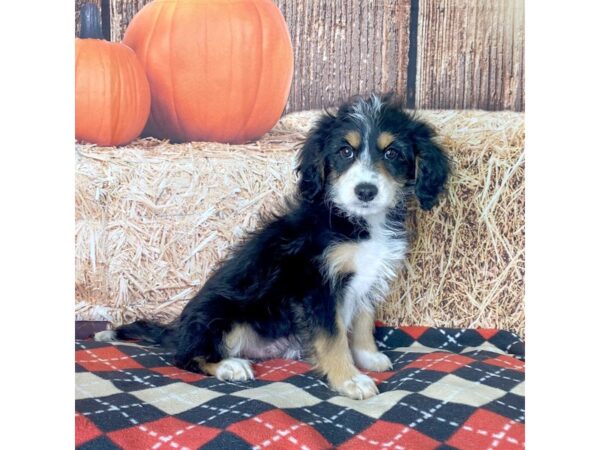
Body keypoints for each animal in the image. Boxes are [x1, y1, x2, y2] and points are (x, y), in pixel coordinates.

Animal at [95, 93, 450, 400]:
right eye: (345, 152)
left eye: (392, 153)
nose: (365, 191)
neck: (357, 223)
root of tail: (176, 330)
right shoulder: (316, 286)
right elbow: (334, 337)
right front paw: (349, 380)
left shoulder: (365, 280)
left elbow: (361, 322)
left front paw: (368, 357)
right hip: (221, 316)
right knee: (185, 356)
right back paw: (229, 366)